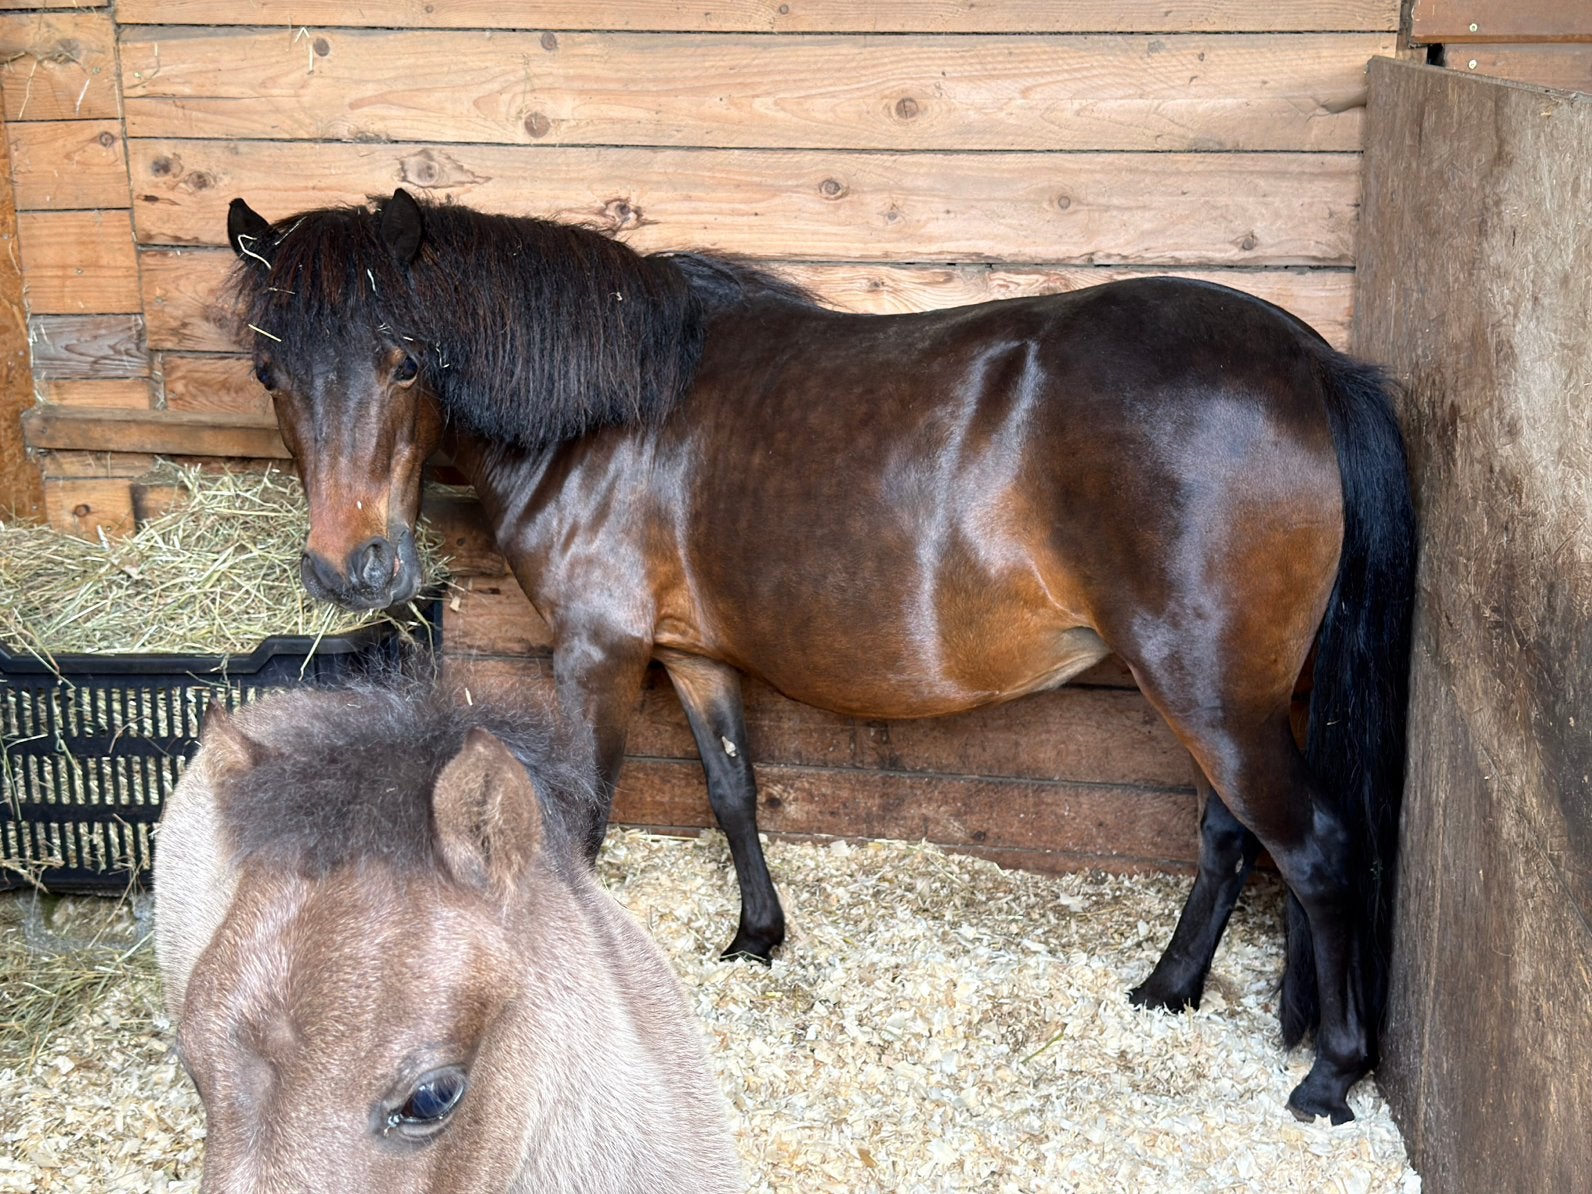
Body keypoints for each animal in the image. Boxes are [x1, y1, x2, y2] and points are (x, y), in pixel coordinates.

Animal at [223, 188, 1416, 1124]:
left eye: (405, 362)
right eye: (269, 375)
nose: (350, 571)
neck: (614, 417)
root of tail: (1309, 362)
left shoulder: (599, 652)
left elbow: (579, 820)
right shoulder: (691, 657)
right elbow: (732, 790)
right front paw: (757, 934)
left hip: (1209, 692)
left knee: (1312, 850)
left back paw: (1329, 1076)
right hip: (1223, 697)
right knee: (1229, 838)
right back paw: (1168, 990)